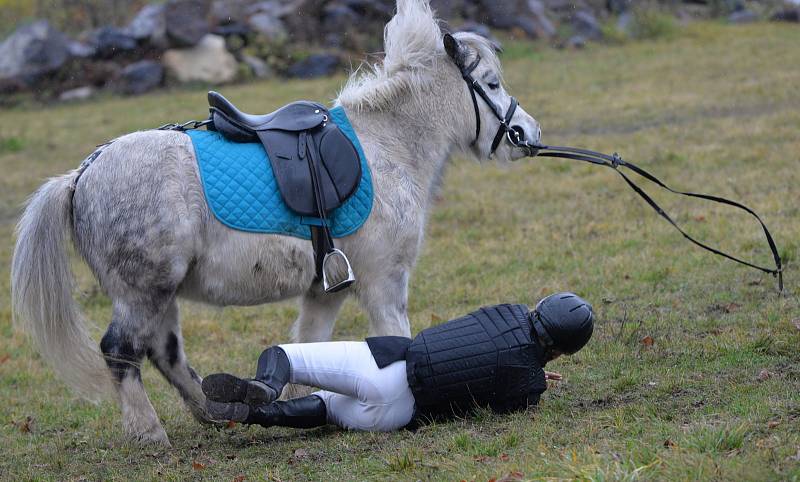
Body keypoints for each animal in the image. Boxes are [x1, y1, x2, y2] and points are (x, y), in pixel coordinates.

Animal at [9, 0, 540, 446]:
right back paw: (149, 433)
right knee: (120, 351)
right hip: (143, 292)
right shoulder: (385, 281)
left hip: (160, 294)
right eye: (491, 84)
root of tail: (82, 174)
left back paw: (217, 410)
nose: (528, 133)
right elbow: (397, 341)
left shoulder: (327, 290)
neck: (385, 146)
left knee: (166, 352)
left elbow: (309, 345)